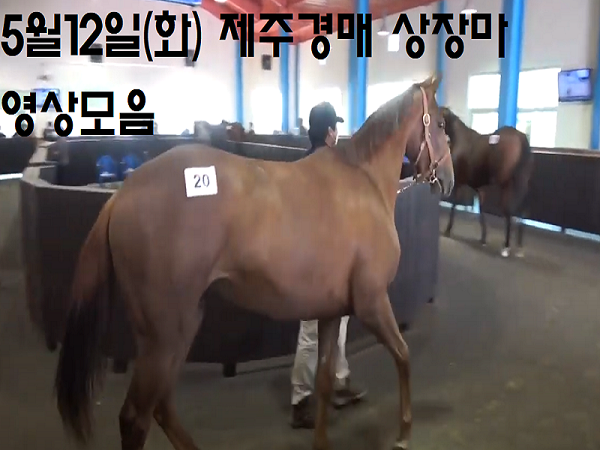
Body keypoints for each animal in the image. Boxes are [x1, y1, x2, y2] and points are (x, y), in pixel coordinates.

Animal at [53, 74, 453, 450]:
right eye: (441, 123)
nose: (449, 178)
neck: (363, 181)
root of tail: (121, 195)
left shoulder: (330, 312)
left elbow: (324, 380)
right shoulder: (372, 303)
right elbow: (403, 356)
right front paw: (403, 433)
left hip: (178, 328)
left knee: (161, 406)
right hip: (163, 335)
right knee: (136, 417)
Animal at [440, 107, 534, 257]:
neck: (462, 140)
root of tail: (520, 138)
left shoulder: (459, 183)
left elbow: (454, 205)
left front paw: (448, 230)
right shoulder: (479, 188)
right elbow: (482, 211)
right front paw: (483, 238)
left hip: (506, 185)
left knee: (508, 210)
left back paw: (506, 247)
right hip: (521, 185)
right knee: (521, 210)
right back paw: (518, 247)